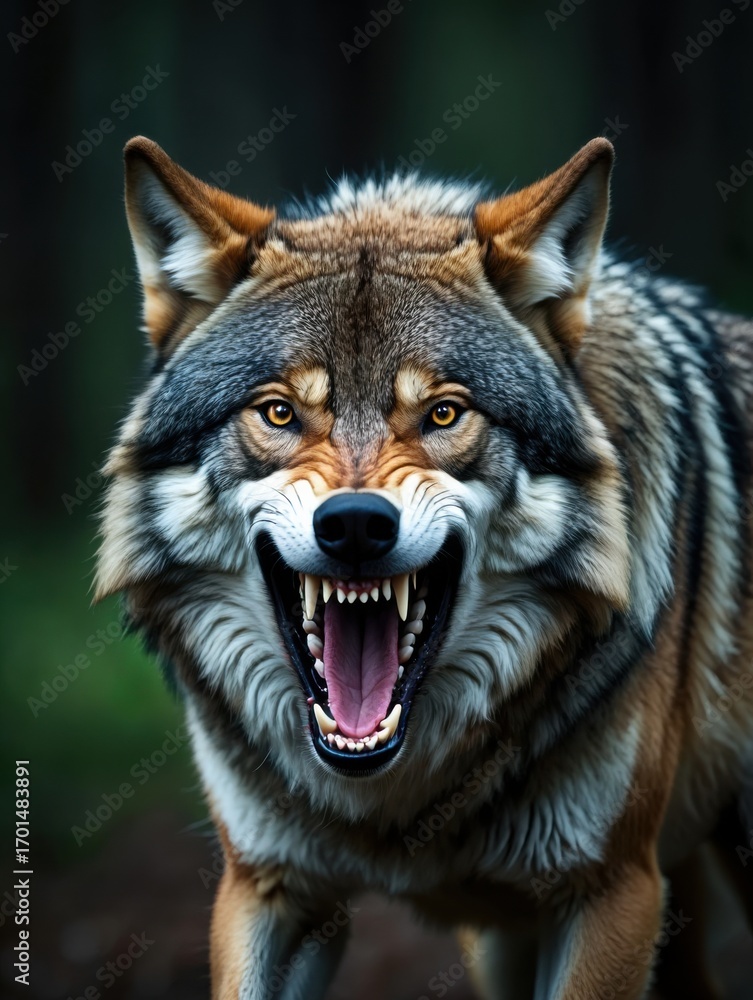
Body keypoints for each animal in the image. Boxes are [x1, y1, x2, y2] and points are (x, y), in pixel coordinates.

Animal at [95, 135, 753, 999]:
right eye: (279, 412)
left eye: (443, 413)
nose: (354, 525)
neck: (393, 798)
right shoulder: (269, 887)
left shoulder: (612, 892)